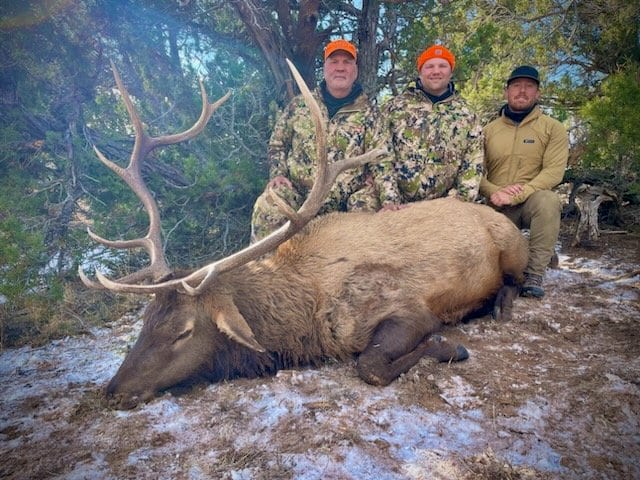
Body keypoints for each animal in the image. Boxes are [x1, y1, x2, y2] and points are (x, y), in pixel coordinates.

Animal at [80, 60, 528, 410]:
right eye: (146, 321)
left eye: (184, 331)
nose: (113, 390)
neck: (300, 321)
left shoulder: (407, 308)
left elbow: (370, 366)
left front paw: (449, 345)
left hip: (512, 245)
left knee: (518, 278)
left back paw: (500, 305)